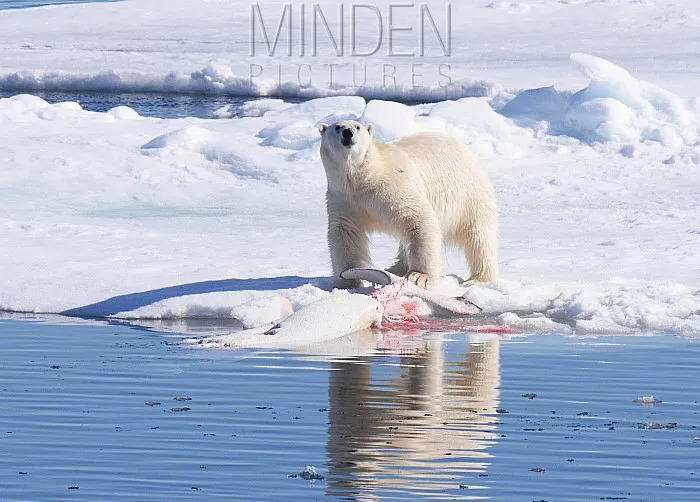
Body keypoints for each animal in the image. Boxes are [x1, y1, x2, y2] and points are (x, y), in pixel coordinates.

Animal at [318, 119, 498, 288]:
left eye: (357, 127)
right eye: (337, 127)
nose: (347, 133)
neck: (363, 178)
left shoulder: (394, 186)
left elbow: (418, 217)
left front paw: (420, 277)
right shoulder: (344, 197)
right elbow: (345, 231)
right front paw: (348, 280)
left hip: (470, 196)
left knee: (480, 238)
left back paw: (479, 278)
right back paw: (395, 268)